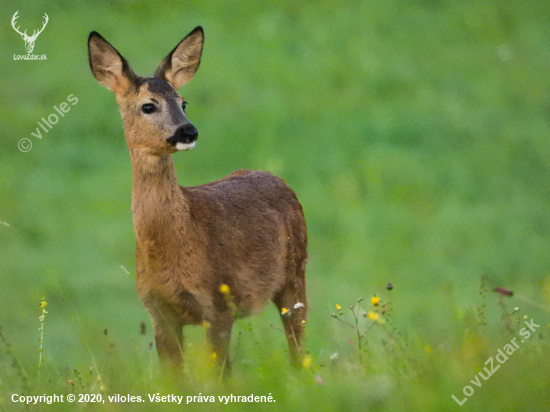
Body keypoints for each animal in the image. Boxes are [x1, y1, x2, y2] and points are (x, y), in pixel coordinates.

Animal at [88, 25, 308, 374]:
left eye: (183, 101)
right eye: (148, 106)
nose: (188, 132)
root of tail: (274, 176)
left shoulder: (218, 303)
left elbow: (217, 377)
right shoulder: (159, 312)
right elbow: (175, 378)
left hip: (296, 272)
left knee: (297, 348)